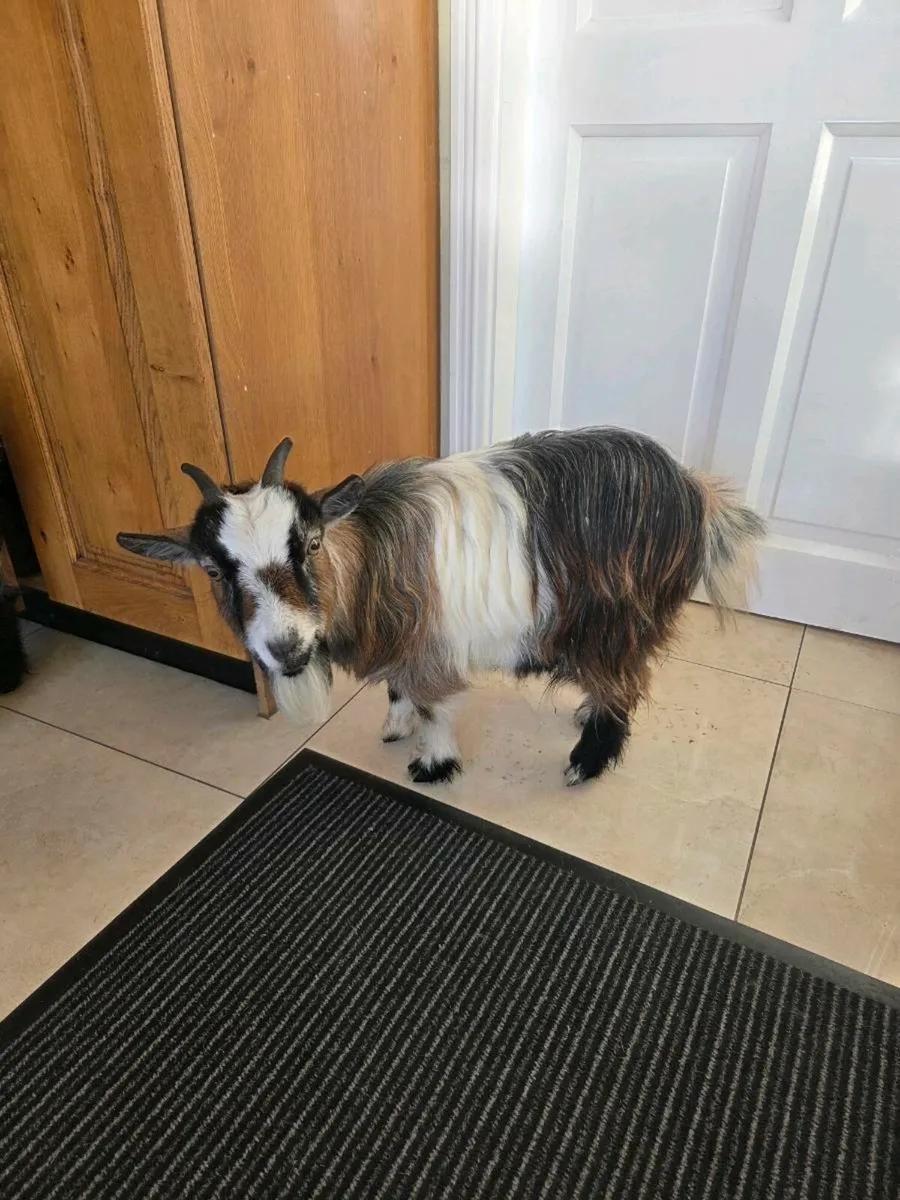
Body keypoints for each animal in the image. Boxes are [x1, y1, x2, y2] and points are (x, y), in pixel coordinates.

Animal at [118, 429, 765, 785]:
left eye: (311, 543)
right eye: (214, 569)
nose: (287, 648)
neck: (368, 557)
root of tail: (696, 494)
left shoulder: (428, 643)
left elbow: (434, 706)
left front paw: (433, 764)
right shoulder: (404, 643)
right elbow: (398, 690)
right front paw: (394, 727)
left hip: (617, 621)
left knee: (623, 686)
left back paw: (585, 762)